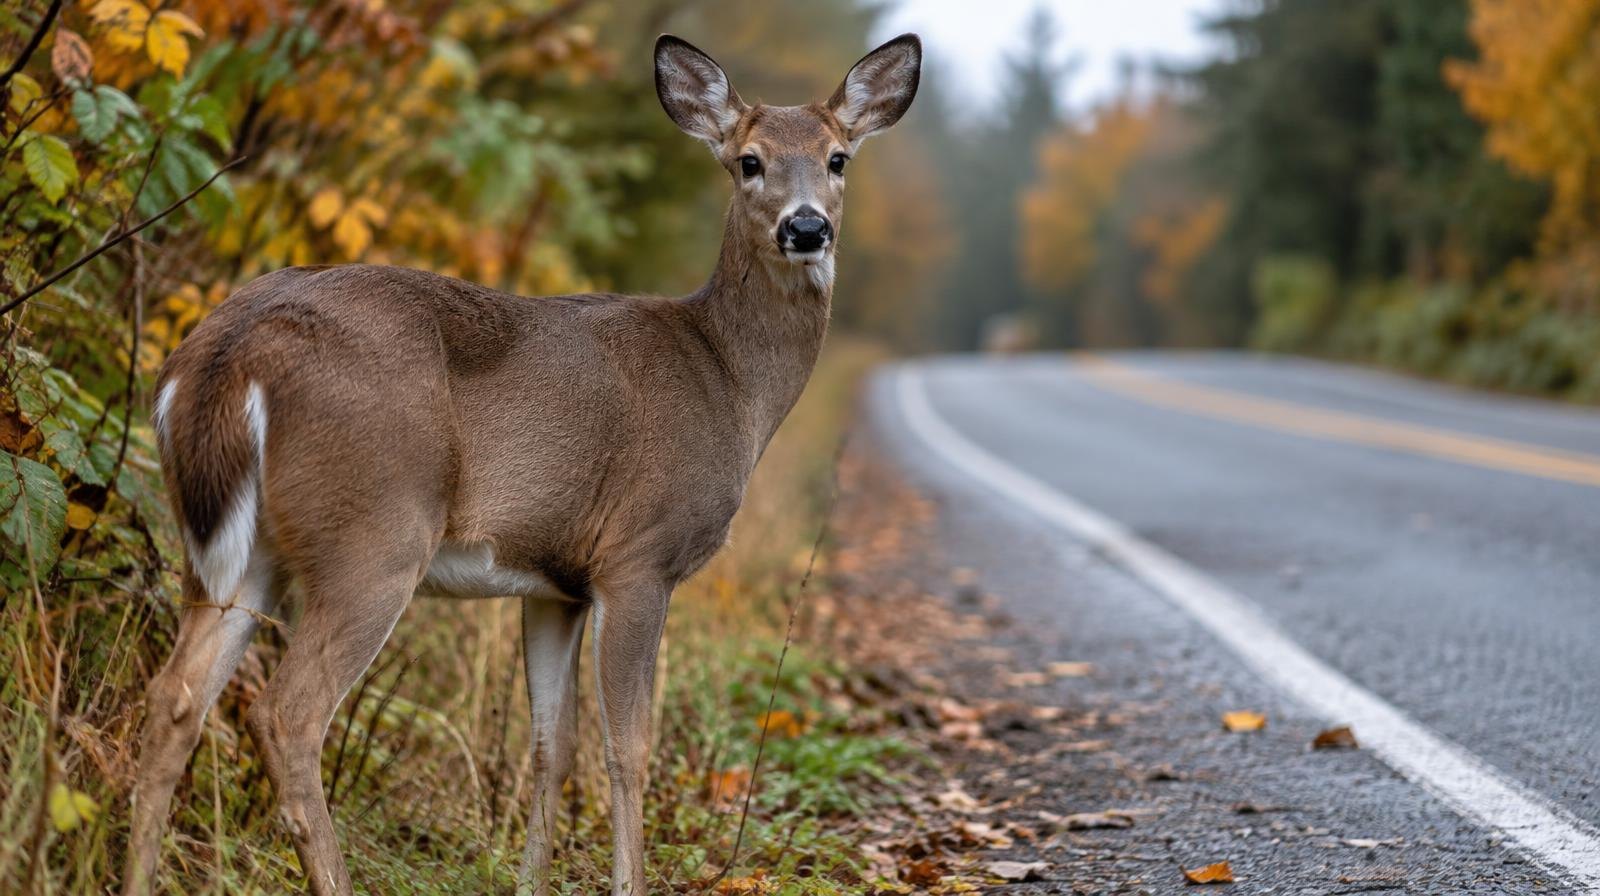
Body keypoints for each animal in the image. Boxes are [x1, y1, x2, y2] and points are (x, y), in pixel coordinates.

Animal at [120, 31, 920, 896]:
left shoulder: (555, 582)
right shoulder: (639, 555)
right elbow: (627, 749)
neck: (730, 382)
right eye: (749, 160)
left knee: (174, 700)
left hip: (234, 550)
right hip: (373, 531)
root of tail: (222, 354)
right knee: (286, 714)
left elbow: (550, 747)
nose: (806, 228)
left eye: (838, 158)